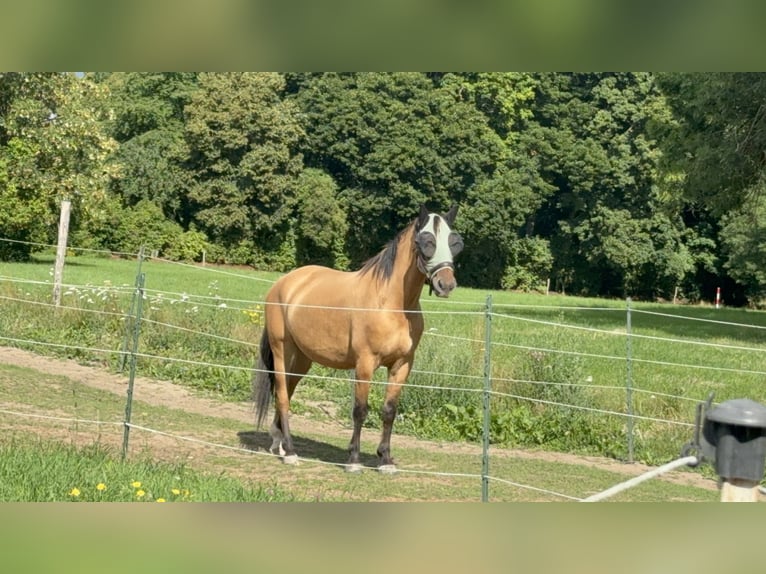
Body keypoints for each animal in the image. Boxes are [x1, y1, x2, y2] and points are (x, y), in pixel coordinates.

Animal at [253, 204, 463, 472]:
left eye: (455, 242)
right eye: (426, 241)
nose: (445, 284)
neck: (392, 304)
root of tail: (283, 283)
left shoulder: (402, 366)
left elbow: (389, 411)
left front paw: (385, 460)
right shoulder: (365, 364)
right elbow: (360, 410)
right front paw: (353, 459)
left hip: (301, 359)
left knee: (287, 392)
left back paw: (278, 442)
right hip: (282, 350)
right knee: (281, 394)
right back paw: (289, 451)